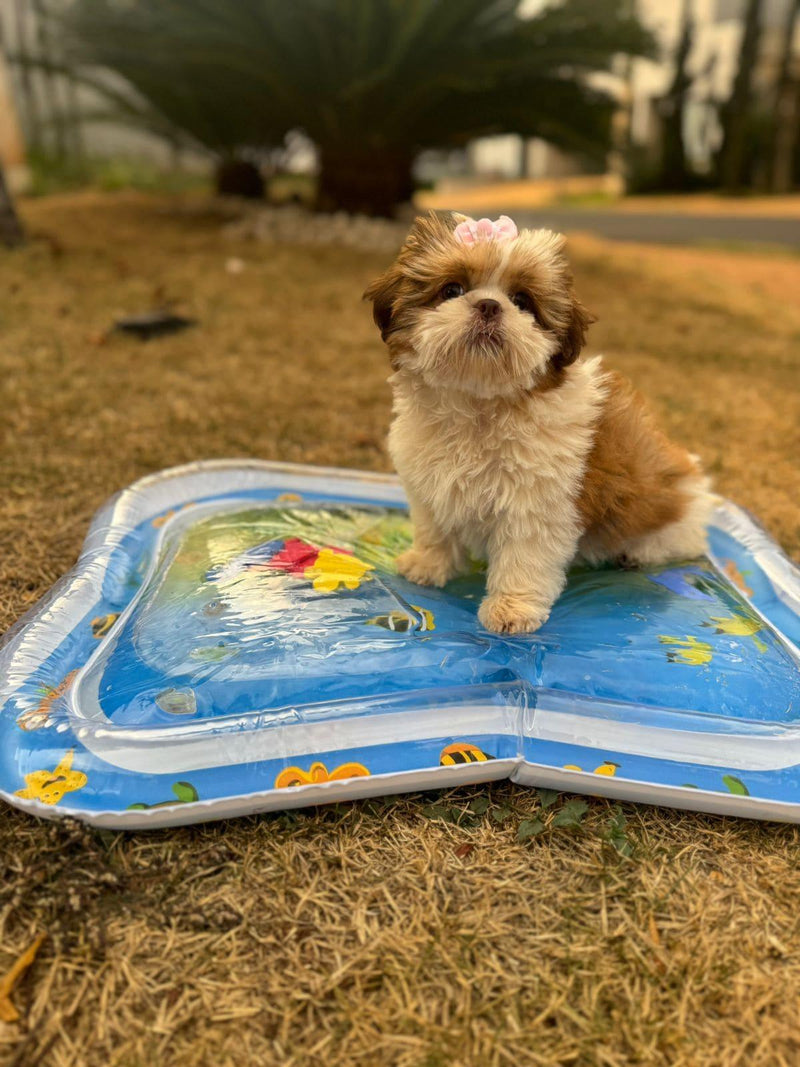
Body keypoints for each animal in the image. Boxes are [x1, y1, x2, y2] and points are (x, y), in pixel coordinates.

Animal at [362, 213, 712, 635]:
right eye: (452, 290)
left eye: (521, 301)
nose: (489, 305)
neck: (478, 404)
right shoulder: (429, 482)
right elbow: (435, 528)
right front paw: (428, 564)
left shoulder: (537, 505)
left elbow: (523, 558)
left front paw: (511, 608)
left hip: (666, 510)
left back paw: (639, 552)